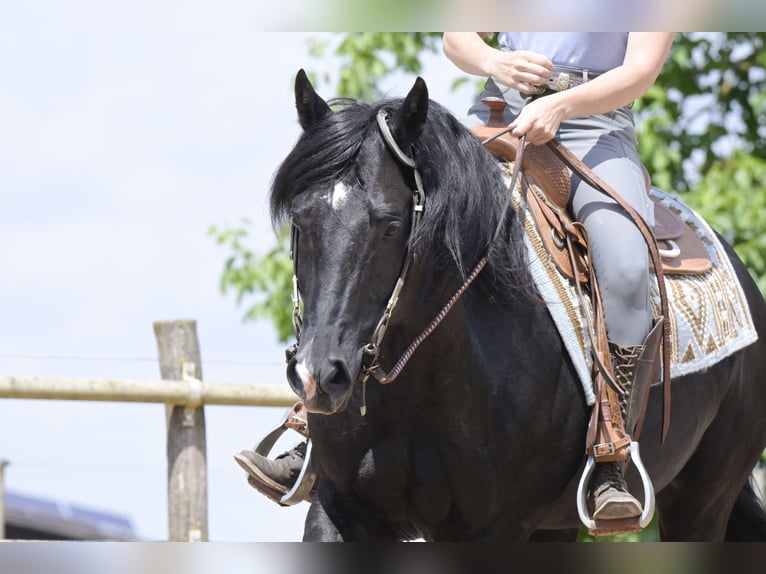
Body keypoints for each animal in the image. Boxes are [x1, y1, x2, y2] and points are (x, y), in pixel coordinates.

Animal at [268, 69, 766, 541]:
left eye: (391, 225)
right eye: (300, 220)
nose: (318, 376)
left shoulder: (496, 527)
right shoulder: (341, 508)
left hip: (702, 499)